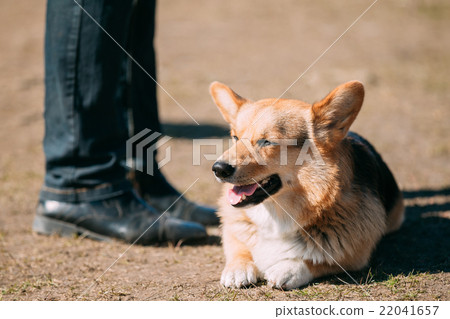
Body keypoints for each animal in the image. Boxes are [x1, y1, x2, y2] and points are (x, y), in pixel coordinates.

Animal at [210, 82, 404, 290]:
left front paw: (289, 269)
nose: (218, 169)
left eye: (267, 141)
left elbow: (317, 260)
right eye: (235, 138)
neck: (276, 216)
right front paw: (238, 267)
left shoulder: (354, 255)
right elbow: (238, 247)